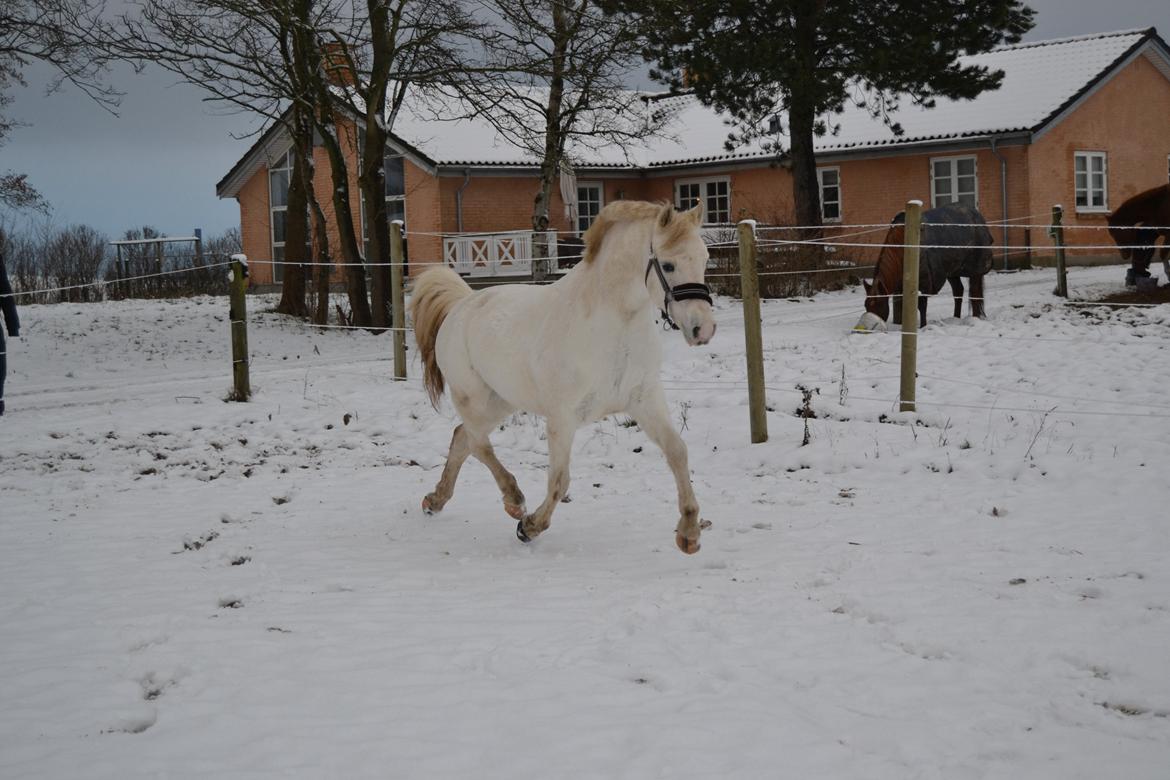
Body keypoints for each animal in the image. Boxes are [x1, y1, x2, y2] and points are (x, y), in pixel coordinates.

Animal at [411, 201, 720, 554]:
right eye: (668, 265)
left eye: (704, 259)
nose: (703, 329)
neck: (613, 325)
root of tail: (462, 304)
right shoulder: (562, 417)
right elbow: (560, 480)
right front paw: (529, 527)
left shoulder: (645, 400)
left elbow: (678, 452)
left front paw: (689, 532)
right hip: (474, 398)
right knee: (477, 442)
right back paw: (514, 500)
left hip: (500, 401)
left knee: (463, 438)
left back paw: (435, 500)